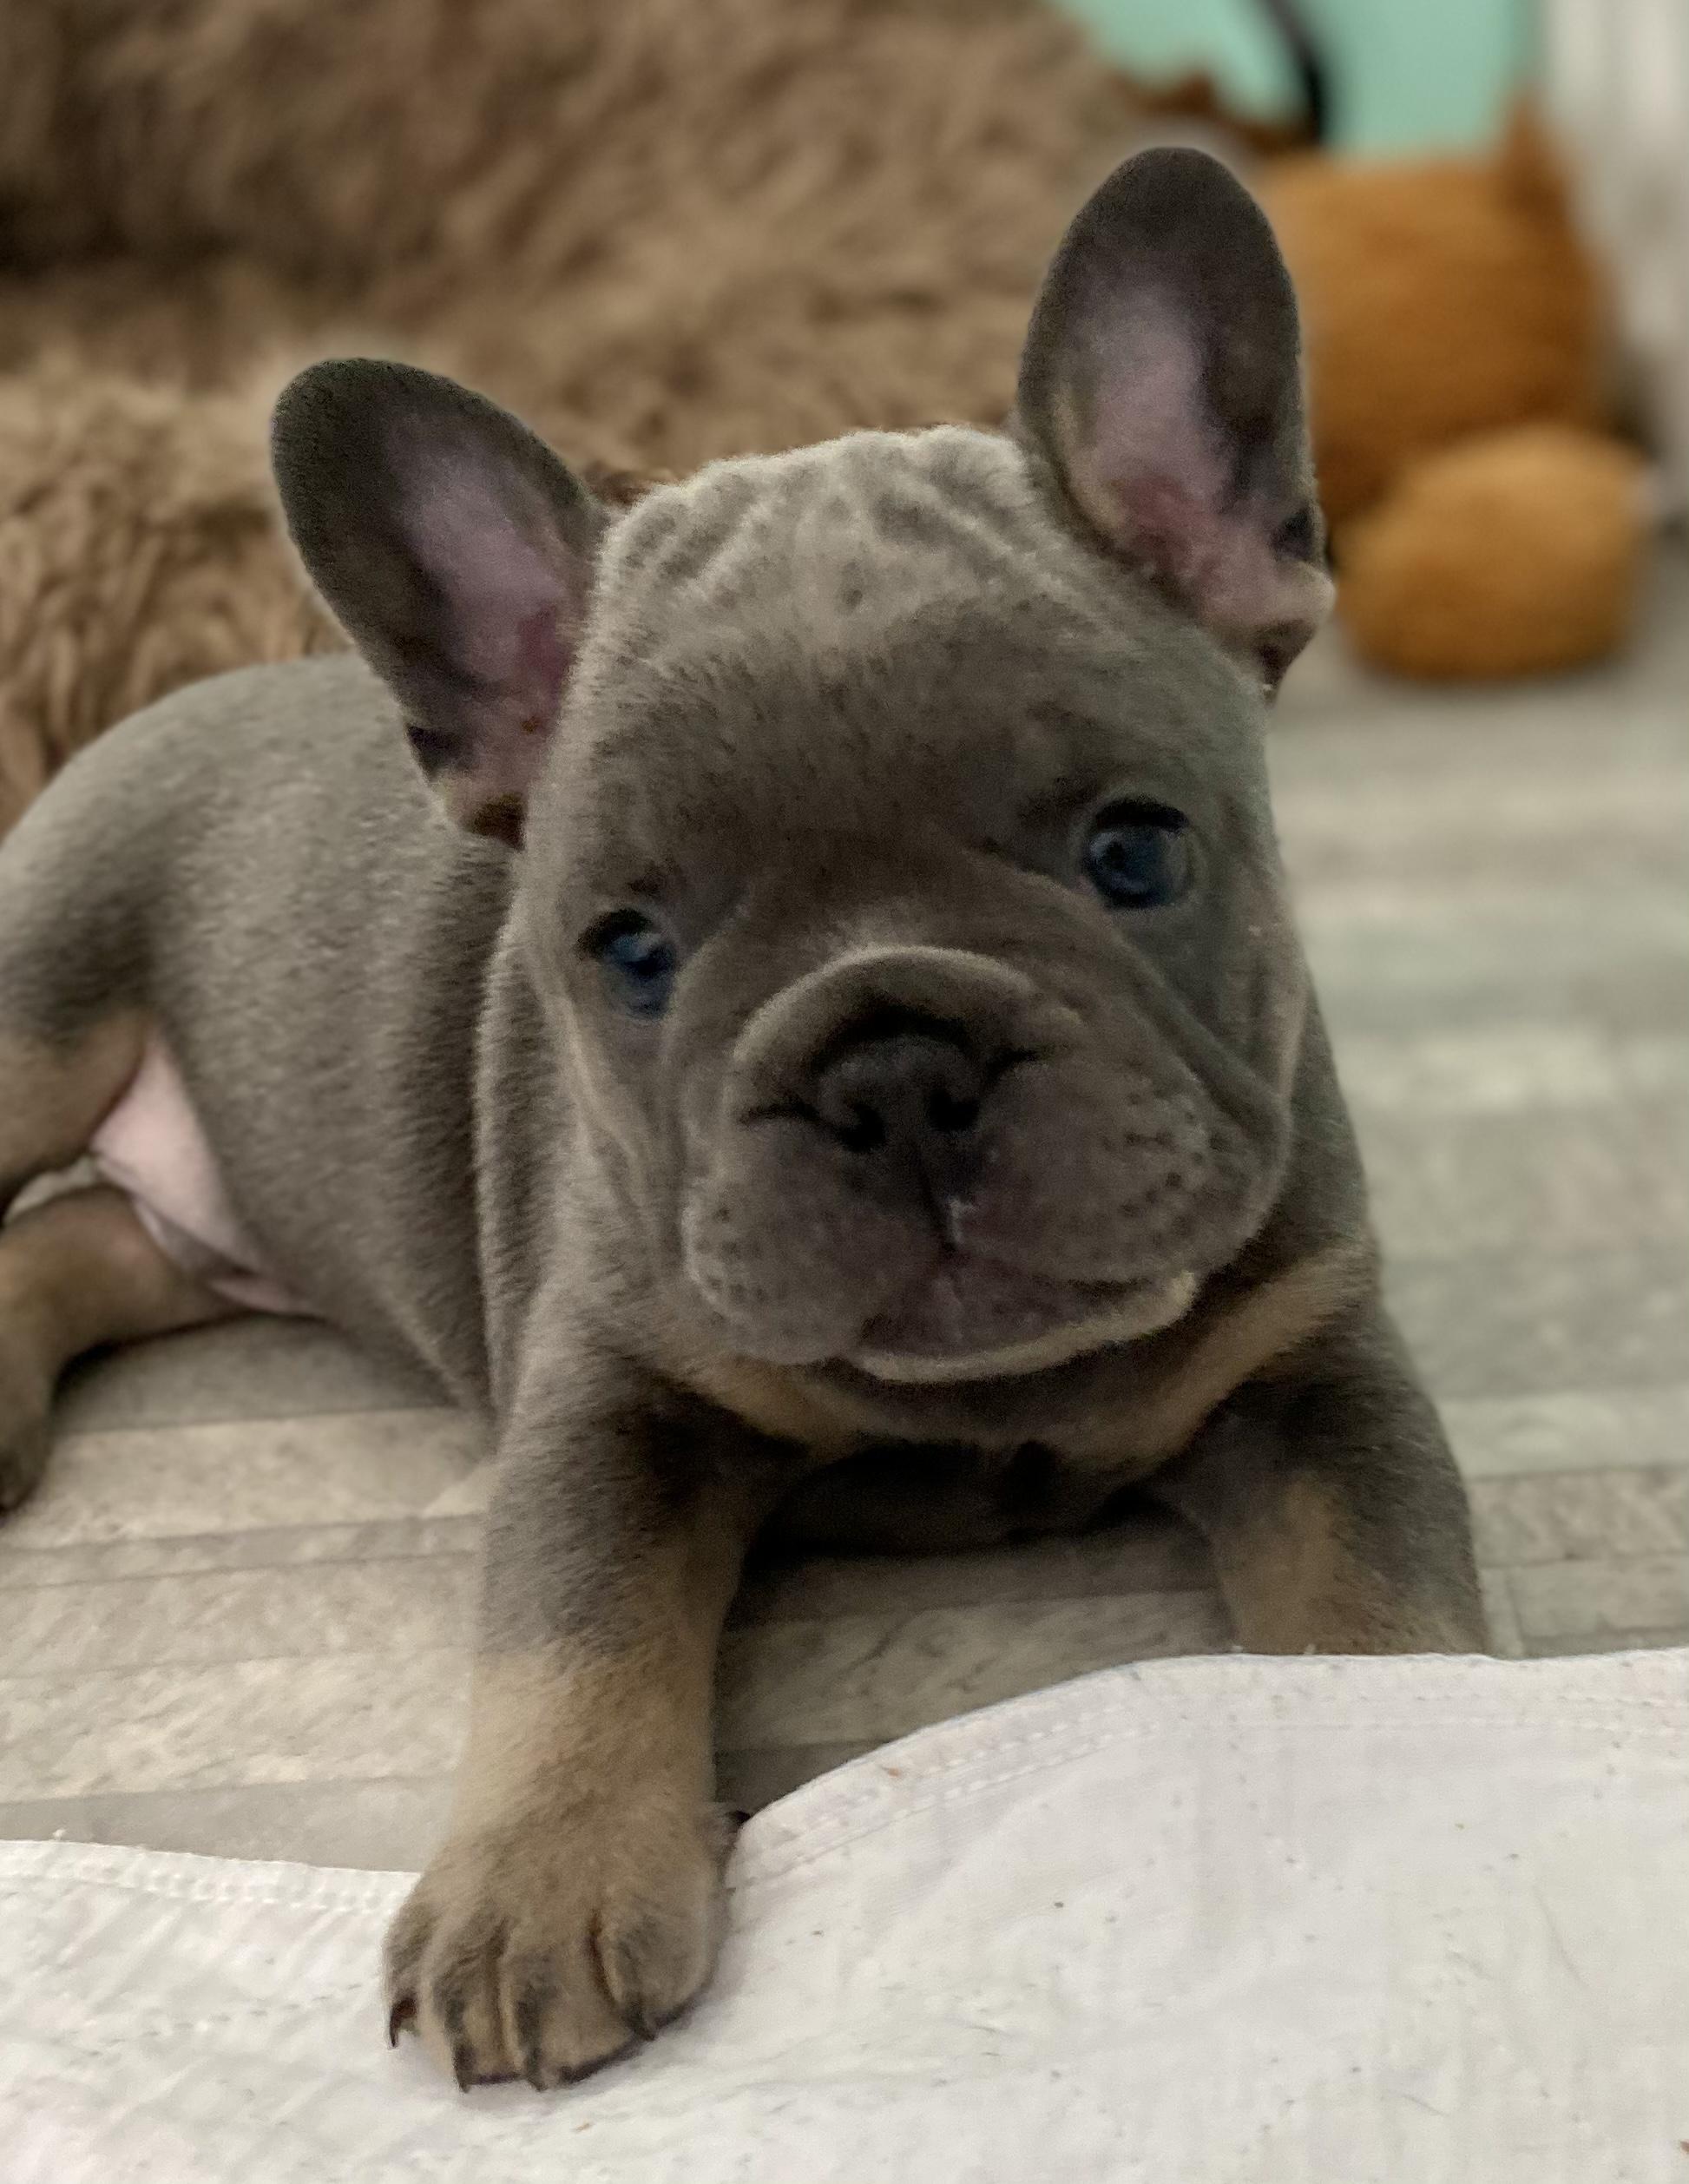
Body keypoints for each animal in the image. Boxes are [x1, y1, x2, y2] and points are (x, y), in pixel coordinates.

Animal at [0, 149, 1485, 2092]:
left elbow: (1385, 1612)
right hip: (43, 1003)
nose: (891, 1066)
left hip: (213, 1222)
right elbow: (575, 1622)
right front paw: (537, 1881)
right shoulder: (614, 1397)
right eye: (632, 950)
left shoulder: (1310, 1373)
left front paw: (1403, 1759)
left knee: (92, 1232)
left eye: (1136, 851)